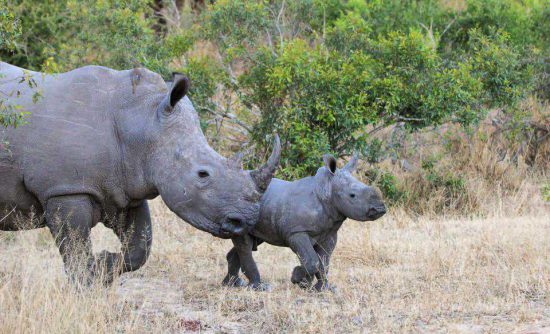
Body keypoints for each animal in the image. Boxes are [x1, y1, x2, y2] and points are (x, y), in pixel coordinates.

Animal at [0, 62, 282, 284]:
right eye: (203, 174)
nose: (245, 220)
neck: (142, 123)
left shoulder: (125, 188)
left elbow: (140, 246)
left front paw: (103, 266)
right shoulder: (64, 188)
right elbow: (76, 248)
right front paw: (85, 289)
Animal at [222, 155, 386, 290]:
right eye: (352, 195)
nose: (380, 209)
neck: (327, 190)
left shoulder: (329, 234)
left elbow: (324, 263)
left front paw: (321, 288)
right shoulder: (296, 232)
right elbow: (312, 261)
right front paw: (298, 280)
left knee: (249, 242)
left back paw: (232, 285)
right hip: (237, 210)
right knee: (245, 244)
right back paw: (257, 287)